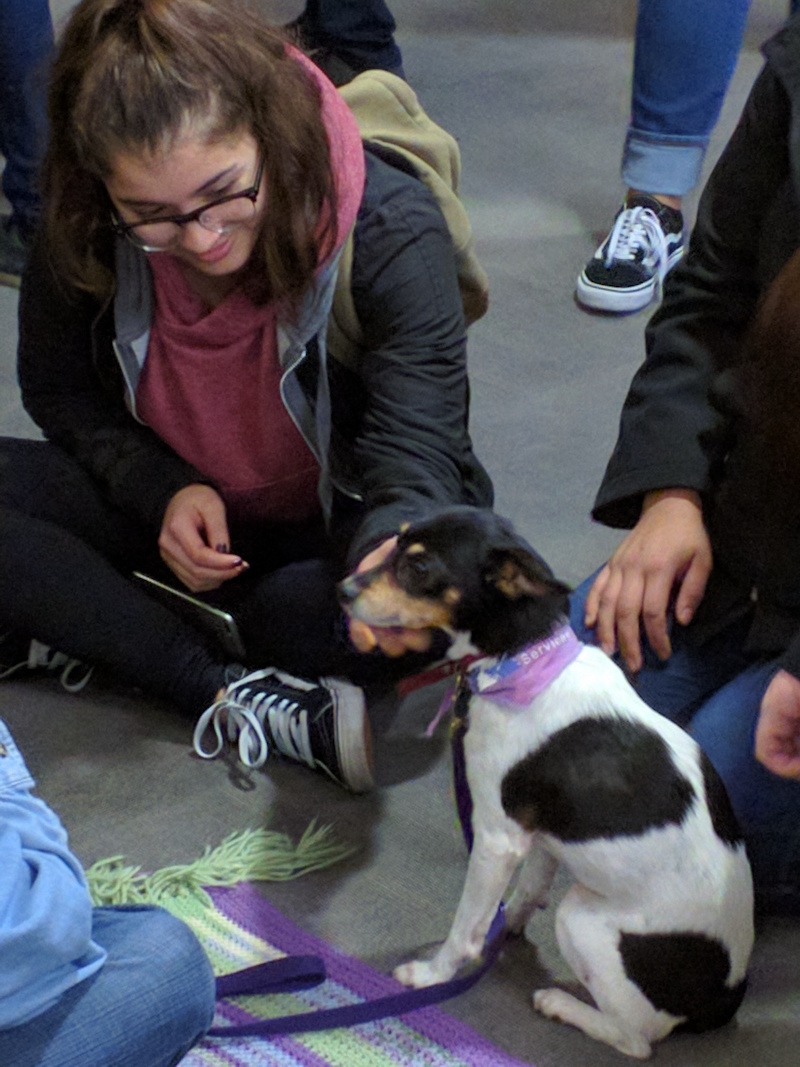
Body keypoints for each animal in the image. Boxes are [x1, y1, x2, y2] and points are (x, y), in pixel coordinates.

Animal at [341, 507, 755, 1058]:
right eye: (398, 542)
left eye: (420, 567)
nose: (343, 589)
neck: (521, 659)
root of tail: (728, 998)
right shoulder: (541, 836)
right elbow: (527, 891)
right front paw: (507, 928)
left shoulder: (497, 839)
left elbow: (466, 927)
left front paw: (433, 974)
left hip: (580, 918)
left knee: (636, 1039)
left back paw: (562, 1005)